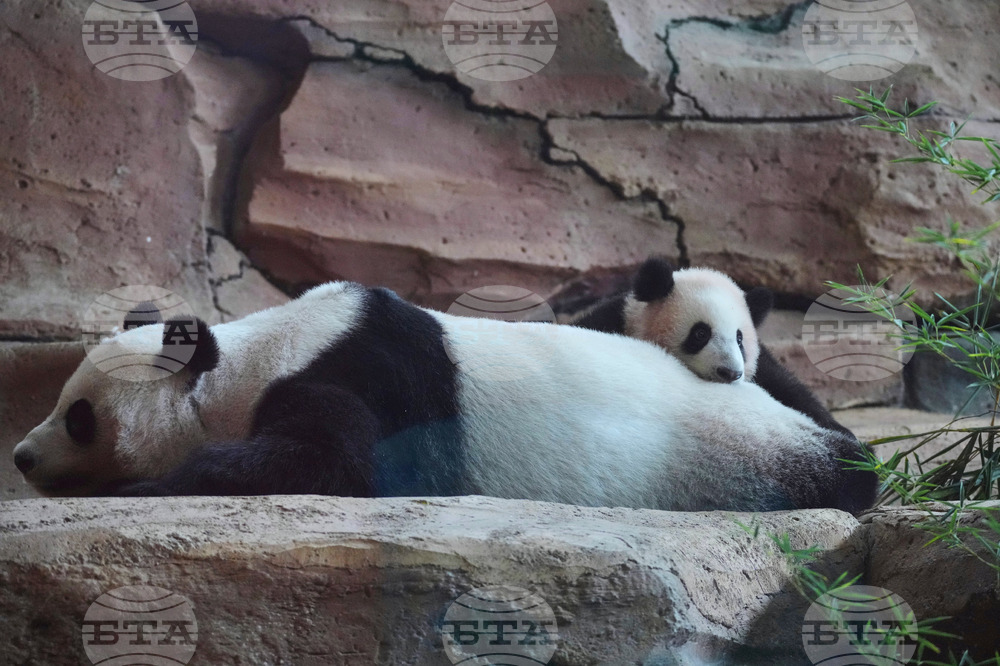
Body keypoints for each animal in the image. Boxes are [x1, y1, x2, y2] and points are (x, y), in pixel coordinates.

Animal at [12, 281, 876, 513]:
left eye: (78, 415)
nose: (20, 455)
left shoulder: (366, 376)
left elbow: (334, 465)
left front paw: (146, 484)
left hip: (736, 455)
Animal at [571, 257, 850, 434]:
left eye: (740, 339)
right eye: (700, 333)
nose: (730, 373)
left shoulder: (763, 368)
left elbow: (790, 388)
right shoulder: (611, 319)